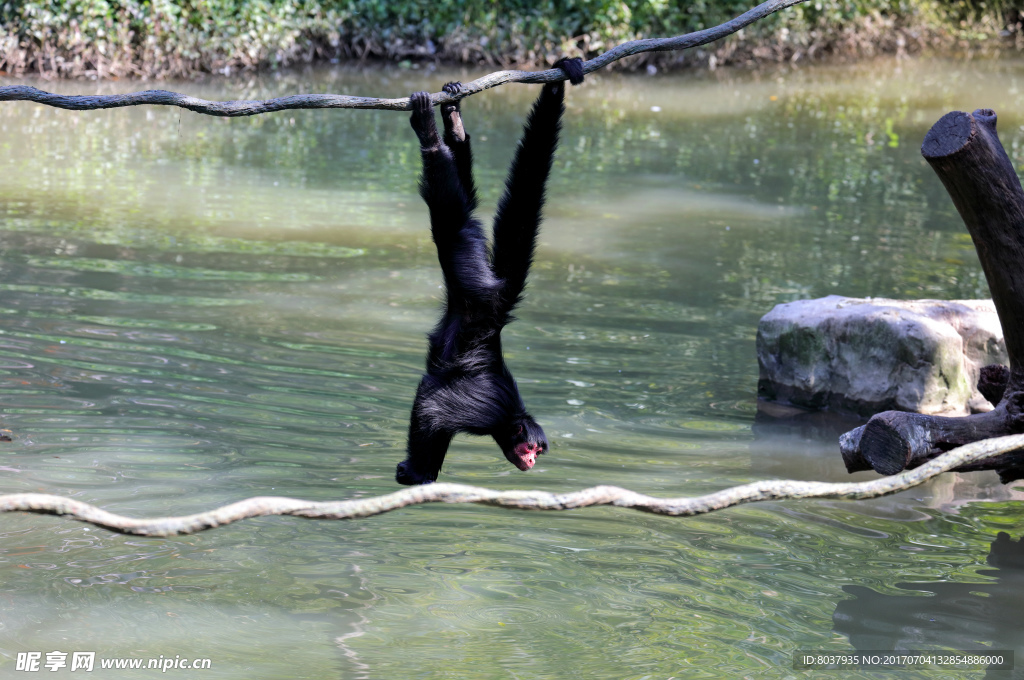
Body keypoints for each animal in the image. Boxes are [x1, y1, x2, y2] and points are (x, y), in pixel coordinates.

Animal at [391, 57, 585, 483]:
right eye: (530, 448)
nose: (531, 461)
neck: (511, 418)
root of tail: (496, 308)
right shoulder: (484, 412)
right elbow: (432, 409)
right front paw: (416, 473)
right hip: (469, 265)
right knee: (451, 213)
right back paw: (430, 134)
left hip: (467, 275)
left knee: (462, 199)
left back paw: (455, 128)